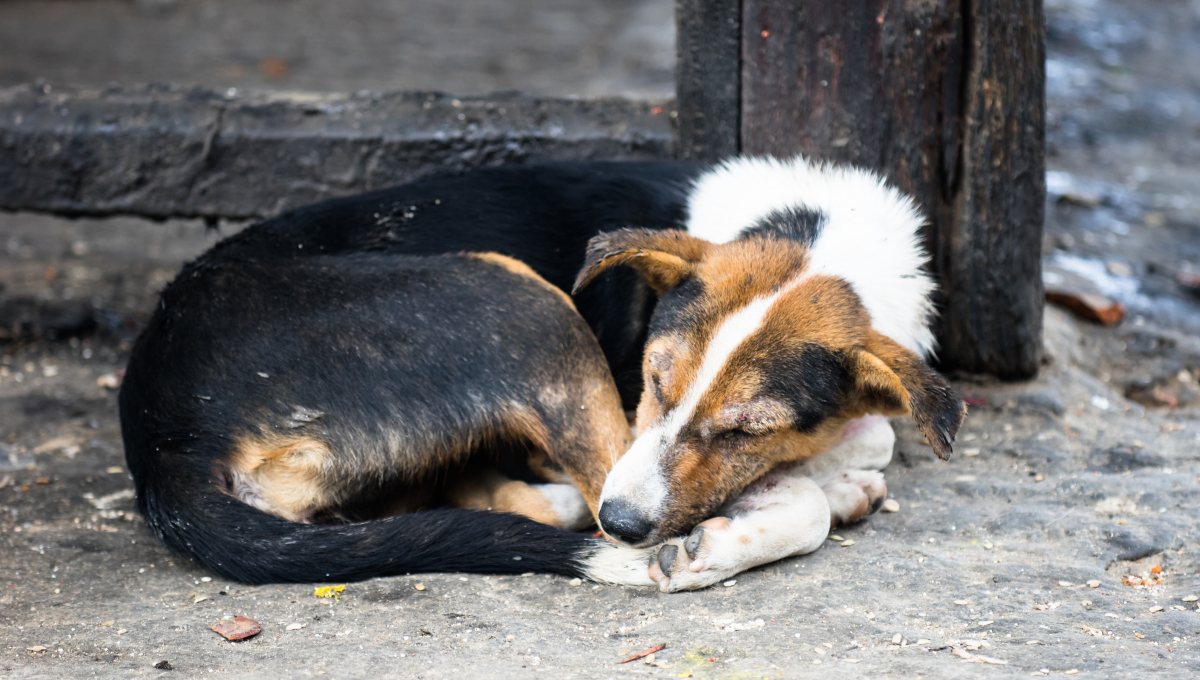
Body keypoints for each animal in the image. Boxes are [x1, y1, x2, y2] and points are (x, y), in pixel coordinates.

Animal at [119, 154, 964, 590]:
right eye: (652, 380)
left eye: (745, 430)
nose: (626, 527)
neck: (819, 235)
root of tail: (162, 433)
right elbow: (812, 492)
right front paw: (742, 528)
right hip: (525, 303)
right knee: (574, 488)